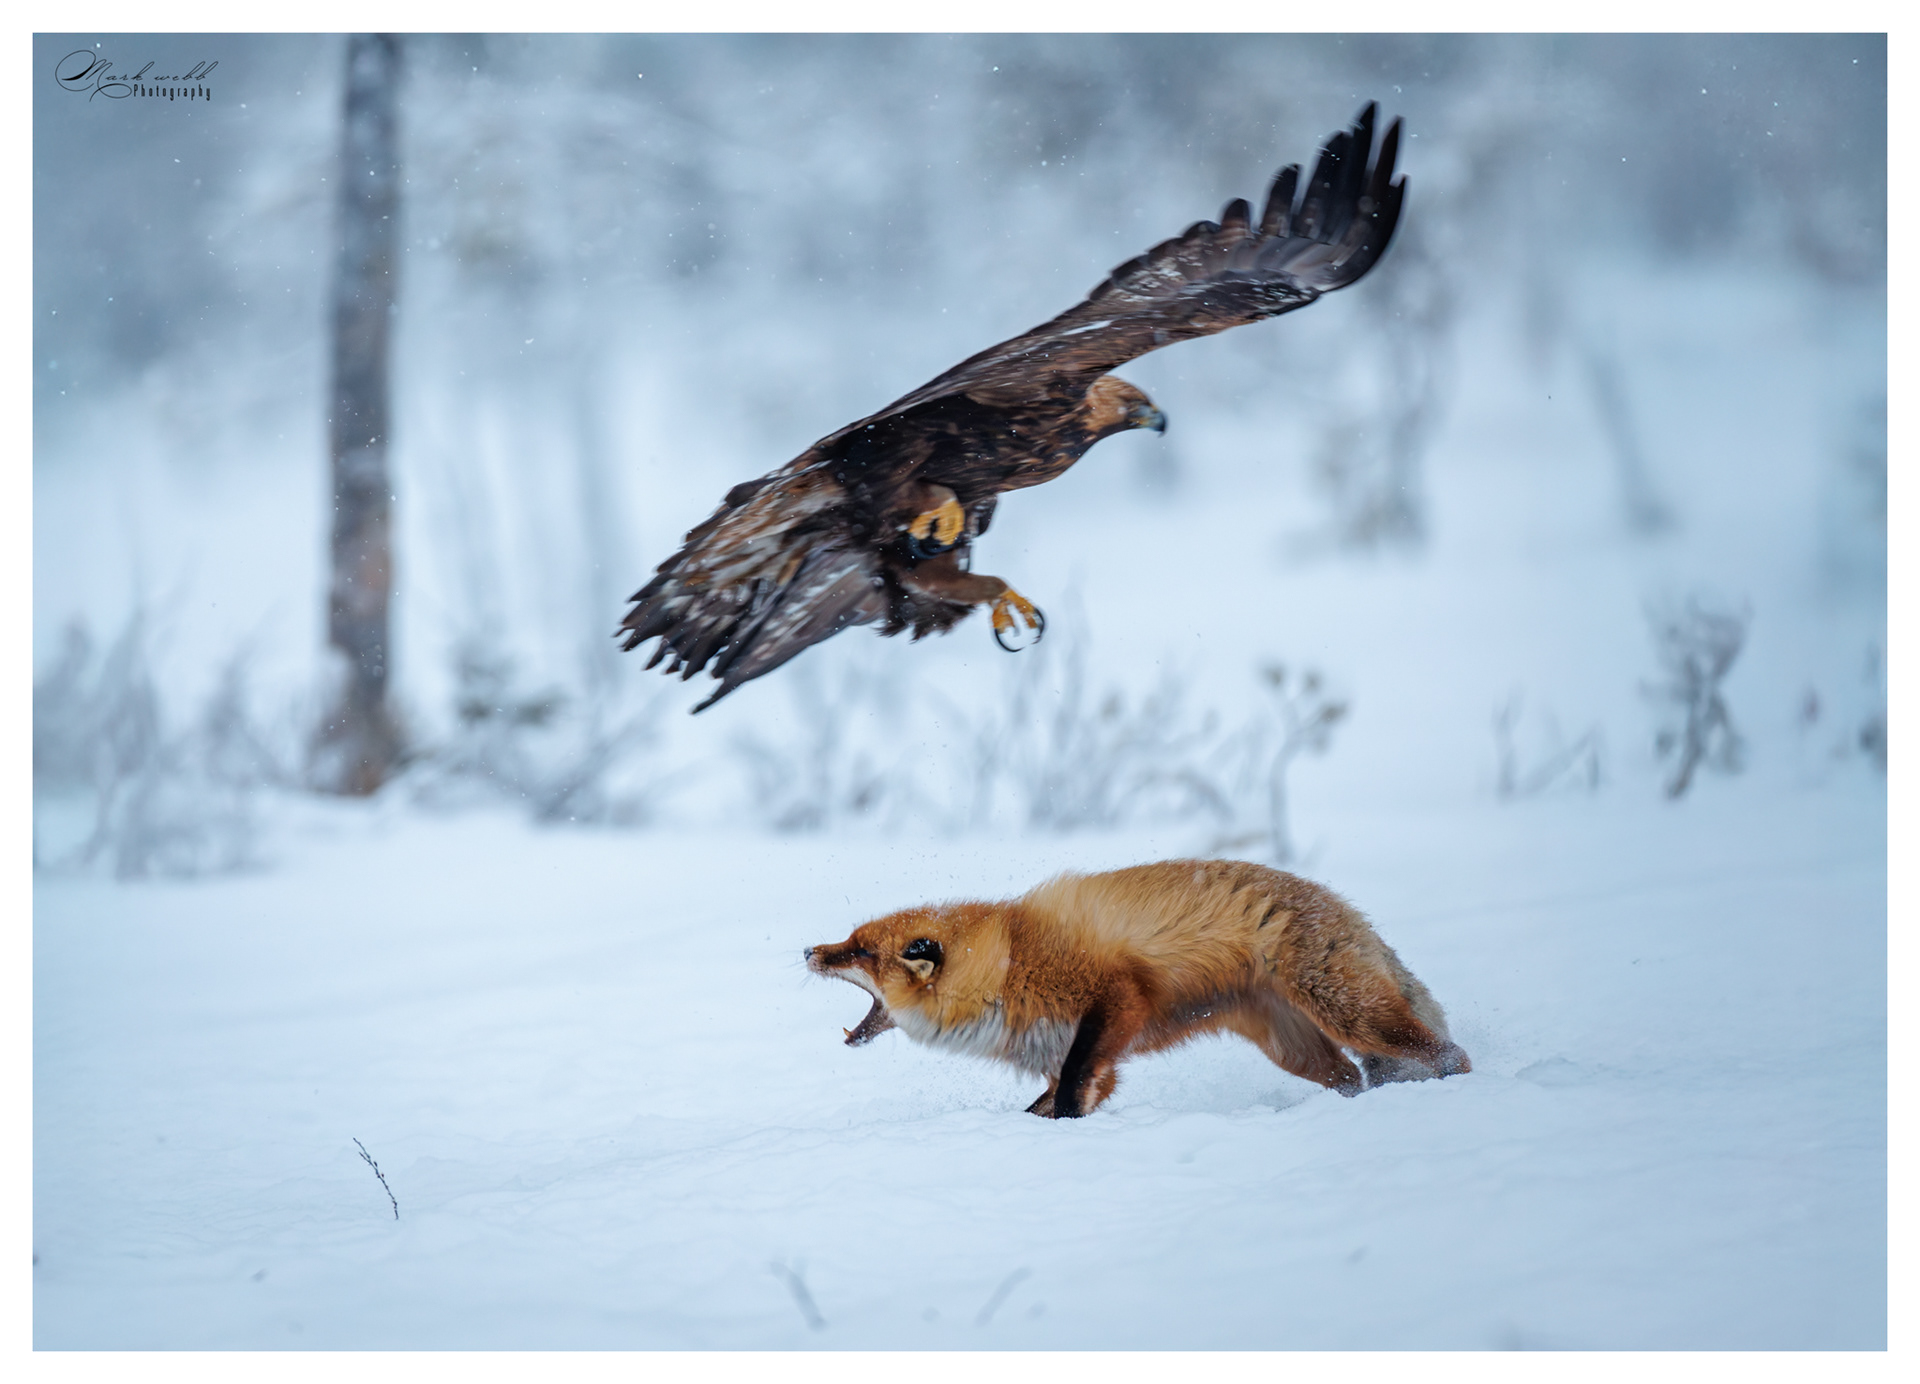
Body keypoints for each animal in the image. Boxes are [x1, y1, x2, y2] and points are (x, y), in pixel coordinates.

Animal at [805, 858, 1470, 1117]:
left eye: (860, 951)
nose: (808, 950)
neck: (1006, 964)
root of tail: (1341, 905)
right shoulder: (1063, 1055)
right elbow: (1051, 1104)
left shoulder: (1114, 998)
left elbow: (1073, 1090)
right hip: (1297, 1050)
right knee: (1352, 1077)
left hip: (1351, 1014)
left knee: (1449, 1054)